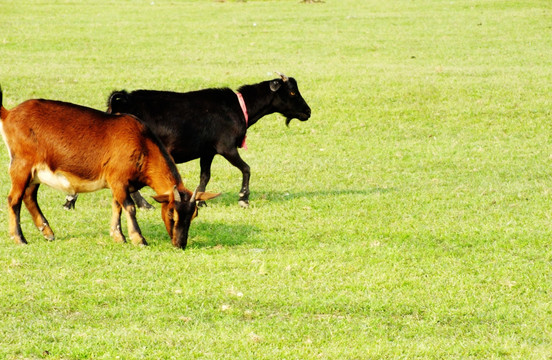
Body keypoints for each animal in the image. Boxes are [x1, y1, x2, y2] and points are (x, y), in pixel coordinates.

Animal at [0, 87, 220, 250]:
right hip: (21, 165)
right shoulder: (119, 180)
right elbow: (129, 207)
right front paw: (138, 239)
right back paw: (19, 238)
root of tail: (9, 114)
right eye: (171, 213)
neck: (142, 144)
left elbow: (117, 206)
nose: (179, 244)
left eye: (194, 215)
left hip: (36, 172)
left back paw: (47, 232)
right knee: (14, 199)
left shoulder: (118, 183)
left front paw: (118, 236)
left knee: (29, 196)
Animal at [64, 73, 310, 210]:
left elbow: (205, 176)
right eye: (291, 93)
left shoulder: (208, 151)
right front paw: (243, 198)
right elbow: (247, 168)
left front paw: (200, 200)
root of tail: (121, 101)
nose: (308, 112)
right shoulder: (226, 147)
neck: (239, 107)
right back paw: (143, 205)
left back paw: (70, 200)